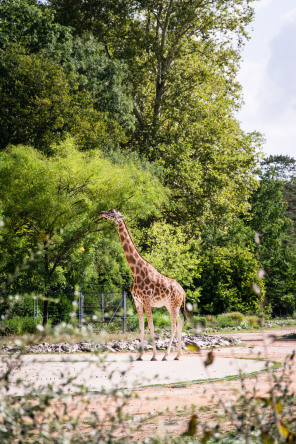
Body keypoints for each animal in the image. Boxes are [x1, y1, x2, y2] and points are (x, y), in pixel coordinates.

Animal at [99, 209, 185, 360]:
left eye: (112, 213)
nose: (101, 213)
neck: (135, 271)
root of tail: (183, 291)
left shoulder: (146, 301)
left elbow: (151, 326)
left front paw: (154, 356)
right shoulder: (137, 301)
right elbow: (141, 326)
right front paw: (140, 355)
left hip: (174, 304)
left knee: (174, 325)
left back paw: (166, 355)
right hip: (170, 305)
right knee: (179, 323)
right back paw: (177, 355)